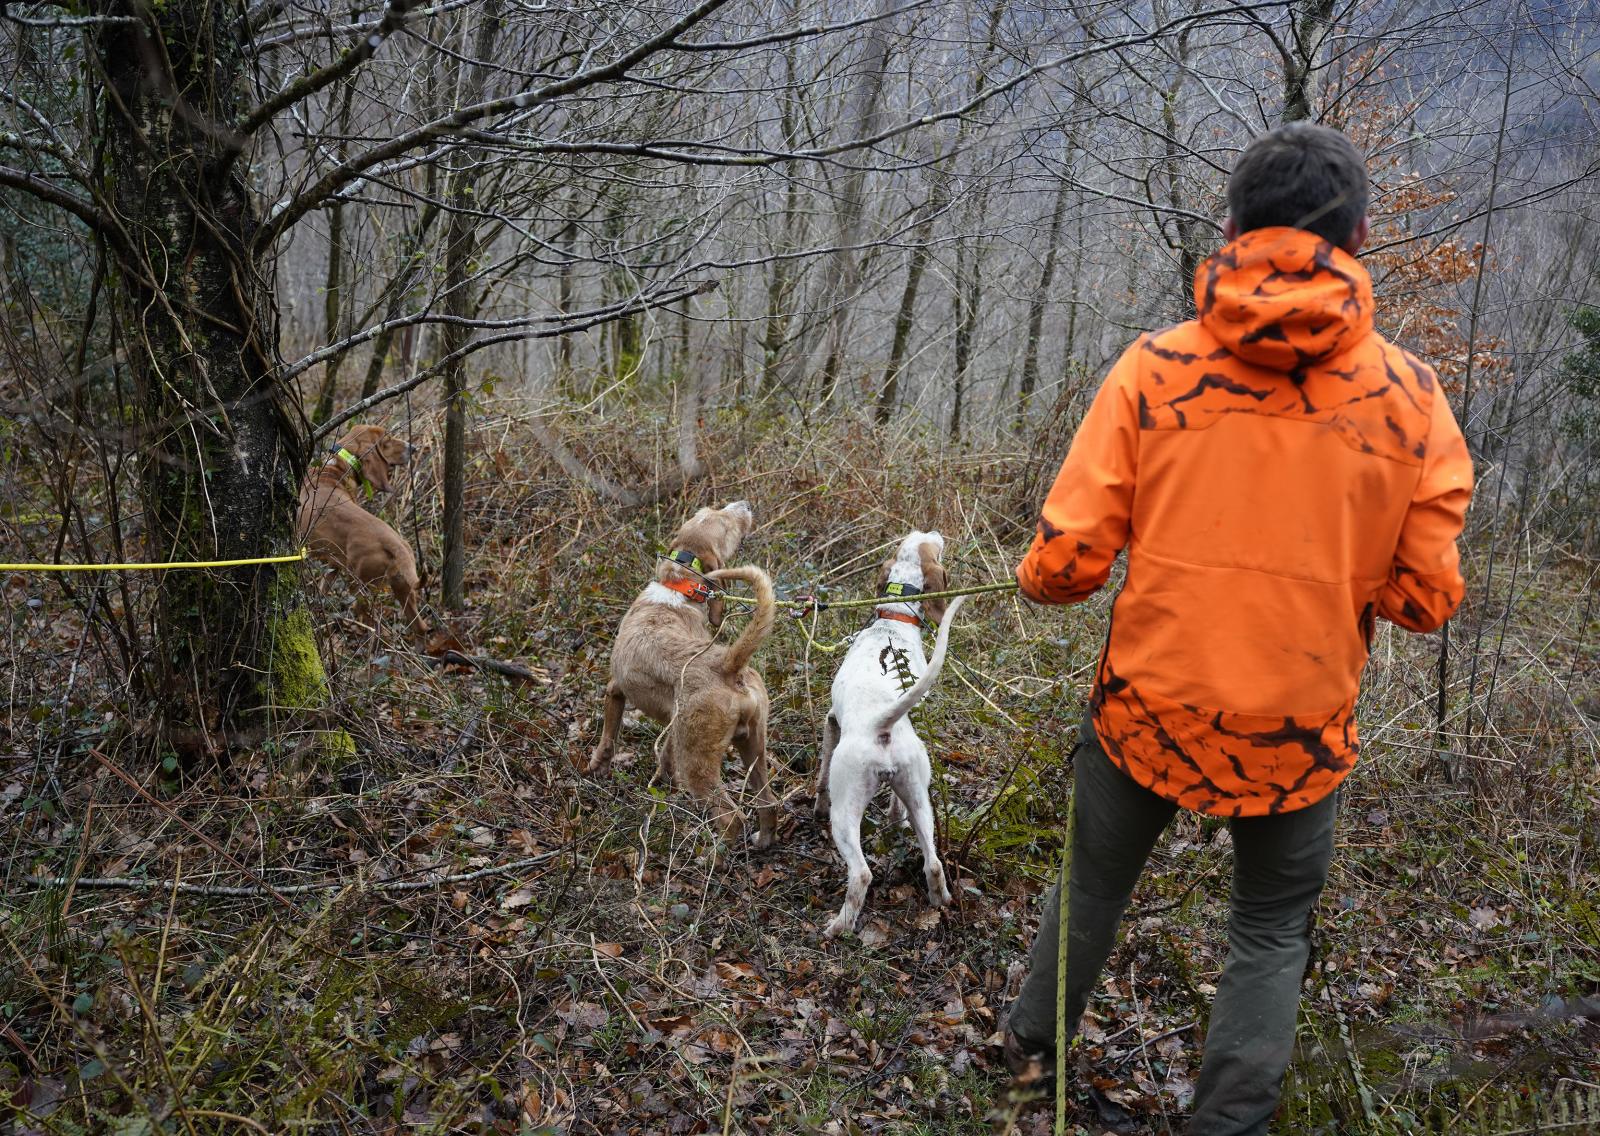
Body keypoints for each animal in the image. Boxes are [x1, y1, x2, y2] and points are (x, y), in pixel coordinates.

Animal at [299, 425, 425, 630]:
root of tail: (396, 544)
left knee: (368, 616)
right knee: (420, 627)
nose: (413, 448)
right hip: (402, 588)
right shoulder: (333, 565)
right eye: (387, 440)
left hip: (361, 584)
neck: (337, 466)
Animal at [592, 502, 784, 851]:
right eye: (716, 512)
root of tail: (728, 665)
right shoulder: (674, 724)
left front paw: (595, 768)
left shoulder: (615, 689)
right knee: (768, 802)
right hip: (753, 747)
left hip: (698, 762)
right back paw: (762, 841)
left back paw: (711, 855)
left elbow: (607, 739)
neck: (679, 585)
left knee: (732, 817)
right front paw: (664, 785)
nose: (745, 505)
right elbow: (666, 755)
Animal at [812, 534, 960, 940]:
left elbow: (820, 777)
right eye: (919, 539)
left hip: (846, 812)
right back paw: (940, 901)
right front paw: (895, 822)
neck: (894, 619)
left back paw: (838, 927)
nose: (939, 534)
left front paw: (815, 805)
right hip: (920, 796)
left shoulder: (831, 722)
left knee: (861, 874)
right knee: (934, 863)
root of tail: (882, 724)